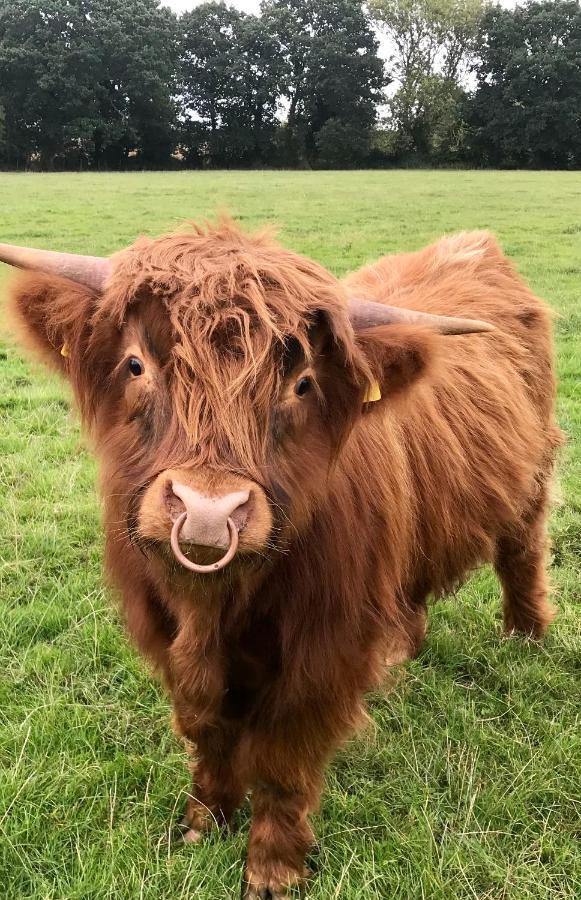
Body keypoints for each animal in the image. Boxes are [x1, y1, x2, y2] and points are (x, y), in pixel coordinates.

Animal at [1, 220, 560, 900]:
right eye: (137, 364)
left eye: (302, 384)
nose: (208, 512)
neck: (216, 607)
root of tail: (477, 246)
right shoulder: (165, 631)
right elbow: (207, 730)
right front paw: (204, 822)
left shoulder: (323, 649)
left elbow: (283, 760)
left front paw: (272, 868)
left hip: (530, 484)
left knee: (522, 556)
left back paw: (525, 637)